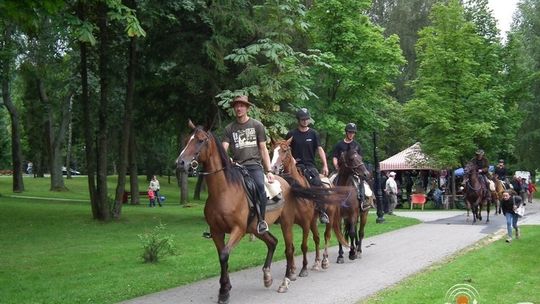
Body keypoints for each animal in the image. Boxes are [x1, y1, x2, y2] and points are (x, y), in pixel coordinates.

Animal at [270, 138, 350, 274]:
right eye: (273, 150)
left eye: (284, 150)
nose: (273, 167)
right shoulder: (288, 223)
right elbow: (291, 246)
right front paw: (292, 269)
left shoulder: (305, 223)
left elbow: (304, 246)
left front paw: (303, 269)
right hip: (313, 220)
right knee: (317, 238)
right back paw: (317, 262)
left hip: (329, 217)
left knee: (326, 236)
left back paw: (324, 261)